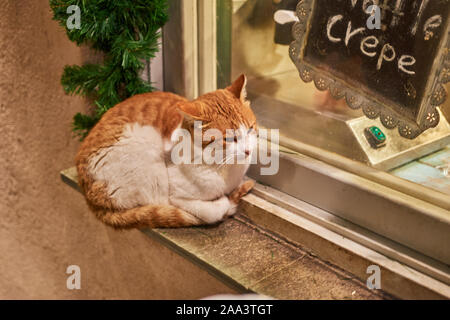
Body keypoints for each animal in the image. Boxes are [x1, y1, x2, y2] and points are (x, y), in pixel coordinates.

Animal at [75, 74, 255, 230]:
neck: (225, 170)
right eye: (229, 139)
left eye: (250, 129)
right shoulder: (175, 197)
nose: (248, 151)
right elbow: (211, 212)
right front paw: (224, 202)